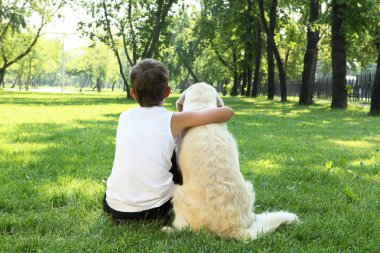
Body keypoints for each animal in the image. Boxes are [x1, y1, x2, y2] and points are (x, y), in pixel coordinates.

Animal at [166, 82, 300, 239]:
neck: (202, 108)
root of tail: (234, 229)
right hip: (249, 187)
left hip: (177, 193)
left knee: (184, 228)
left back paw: (168, 229)